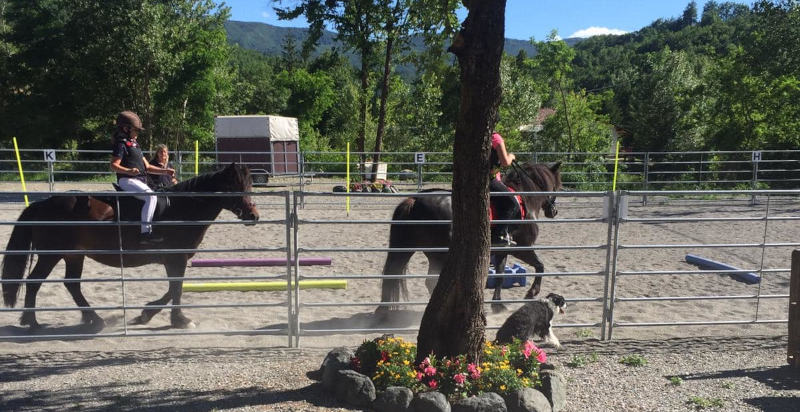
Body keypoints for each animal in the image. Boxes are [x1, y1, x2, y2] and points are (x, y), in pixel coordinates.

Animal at [1, 162, 259, 330]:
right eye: (236, 187)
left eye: (249, 185)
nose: (253, 216)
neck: (182, 208)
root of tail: (42, 204)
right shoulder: (175, 258)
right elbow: (176, 288)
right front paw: (179, 320)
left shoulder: (176, 259)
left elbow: (172, 289)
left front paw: (146, 315)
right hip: (50, 255)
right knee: (34, 283)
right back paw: (32, 322)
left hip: (74, 255)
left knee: (72, 284)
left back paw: (94, 319)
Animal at [378, 161, 562, 314]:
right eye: (557, 187)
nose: (554, 211)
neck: (524, 197)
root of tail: (415, 200)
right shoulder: (522, 247)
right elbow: (540, 265)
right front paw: (531, 293)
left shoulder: (503, 250)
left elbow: (500, 275)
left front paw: (498, 305)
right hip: (440, 255)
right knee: (431, 282)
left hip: (412, 250)